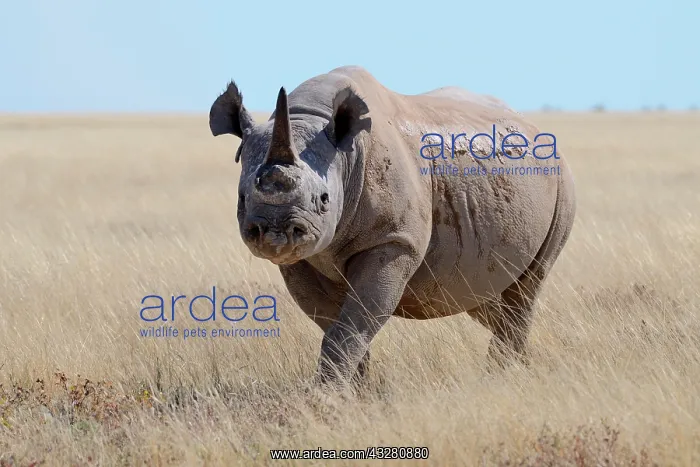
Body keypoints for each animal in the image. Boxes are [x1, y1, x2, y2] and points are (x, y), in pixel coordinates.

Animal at [209, 66, 576, 386]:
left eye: (324, 200)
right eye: (242, 198)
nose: (274, 234)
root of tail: (529, 124)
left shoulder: (393, 241)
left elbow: (352, 327)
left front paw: (326, 398)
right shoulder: (300, 261)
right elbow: (336, 328)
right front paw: (356, 394)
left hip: (561, 178)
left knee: (525, 289)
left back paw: (501, 377)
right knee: (485, 295)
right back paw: (520, 367)